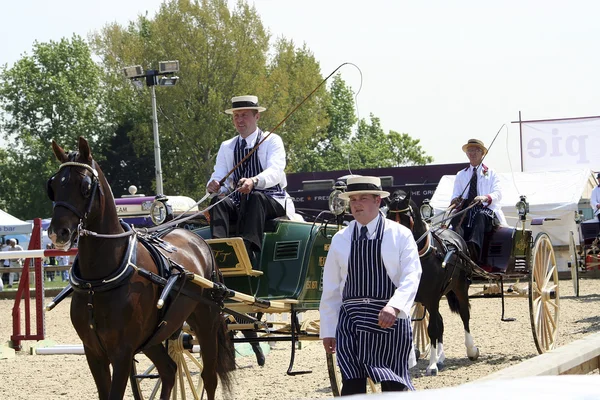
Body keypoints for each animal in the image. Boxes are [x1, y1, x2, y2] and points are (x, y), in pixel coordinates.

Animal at [47, 136, 233, 398]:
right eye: (53, 185)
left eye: (85, 186)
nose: (58, 232)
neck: (99, 281)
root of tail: (198, 240)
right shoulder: (93, 352)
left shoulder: (123, 353)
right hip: (155, 337)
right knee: (169, 369)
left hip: (206, 322)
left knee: (209, 376)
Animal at [390, 190, 478, 376]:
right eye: (388, 216)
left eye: (407, 218)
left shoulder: (431, 297)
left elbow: (432, 329)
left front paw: (431, 366)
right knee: (441, 321)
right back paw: (441, 358)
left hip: (460, 288)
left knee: (464, 315)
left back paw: (471, 350)